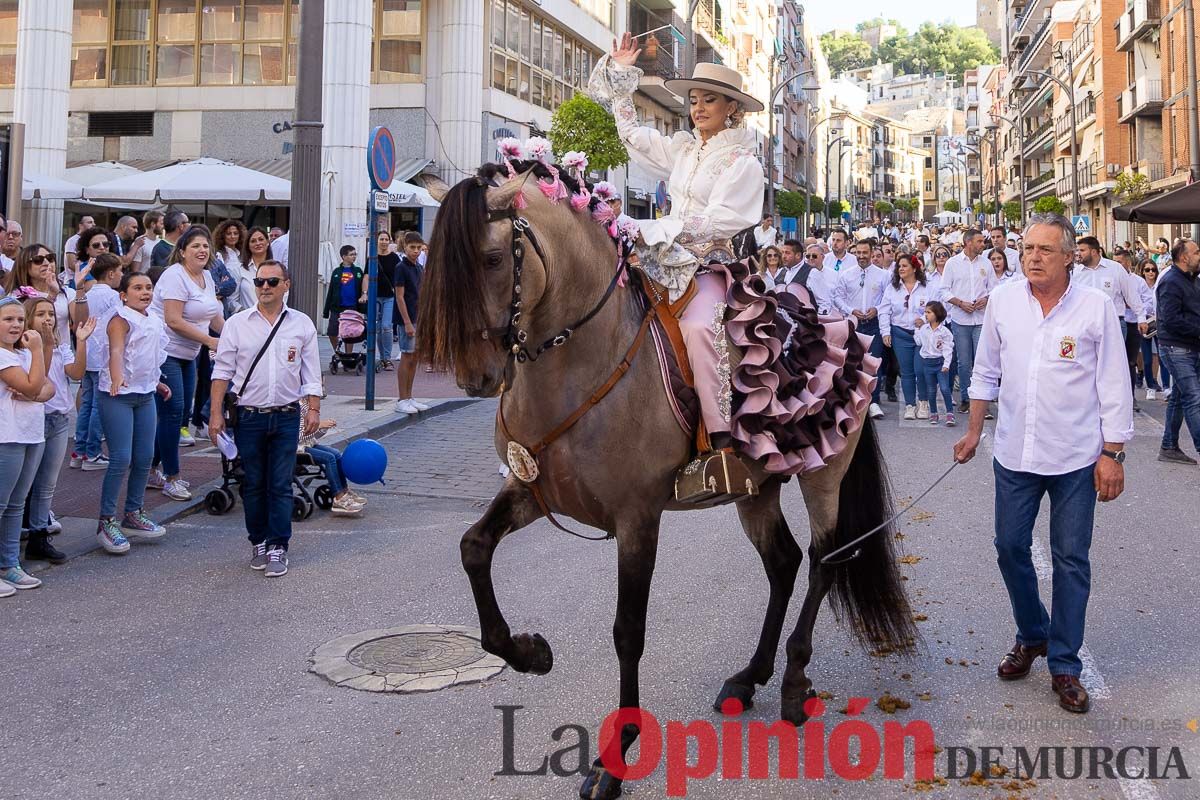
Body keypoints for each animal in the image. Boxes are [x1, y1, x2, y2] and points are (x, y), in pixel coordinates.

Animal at [417, 159, 912, 796]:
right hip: (757, 488)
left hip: (823, 476)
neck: (584, 361)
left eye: (496, 257)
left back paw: (793, 683)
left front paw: (616, 754)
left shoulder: (637, 518)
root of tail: (844, 326)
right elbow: (474, 549)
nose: (475, 376)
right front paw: (530, 652)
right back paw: (749, 677)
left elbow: (628, 629)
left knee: (824, 561)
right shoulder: (531, 489)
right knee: (783, 563)